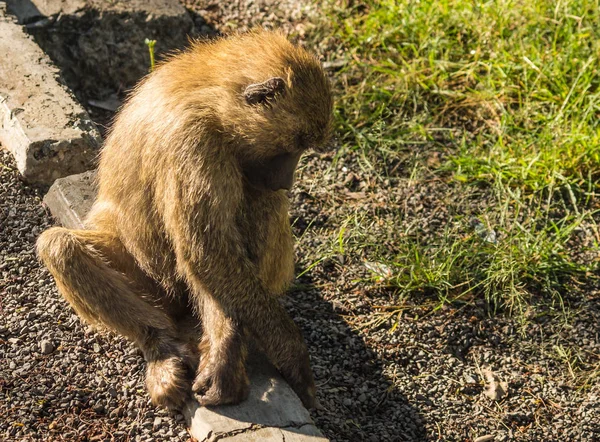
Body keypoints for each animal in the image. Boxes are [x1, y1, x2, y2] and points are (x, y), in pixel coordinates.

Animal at [35, 31, 336, 410]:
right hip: (153, 284)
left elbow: (209, 255)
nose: (287, 181)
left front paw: (226, 344)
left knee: (256, 201)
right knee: (60, 246)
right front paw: (292, 354)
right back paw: (161, 345)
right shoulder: (194, 142)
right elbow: (207, 253)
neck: (215, 98)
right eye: (294, 146)